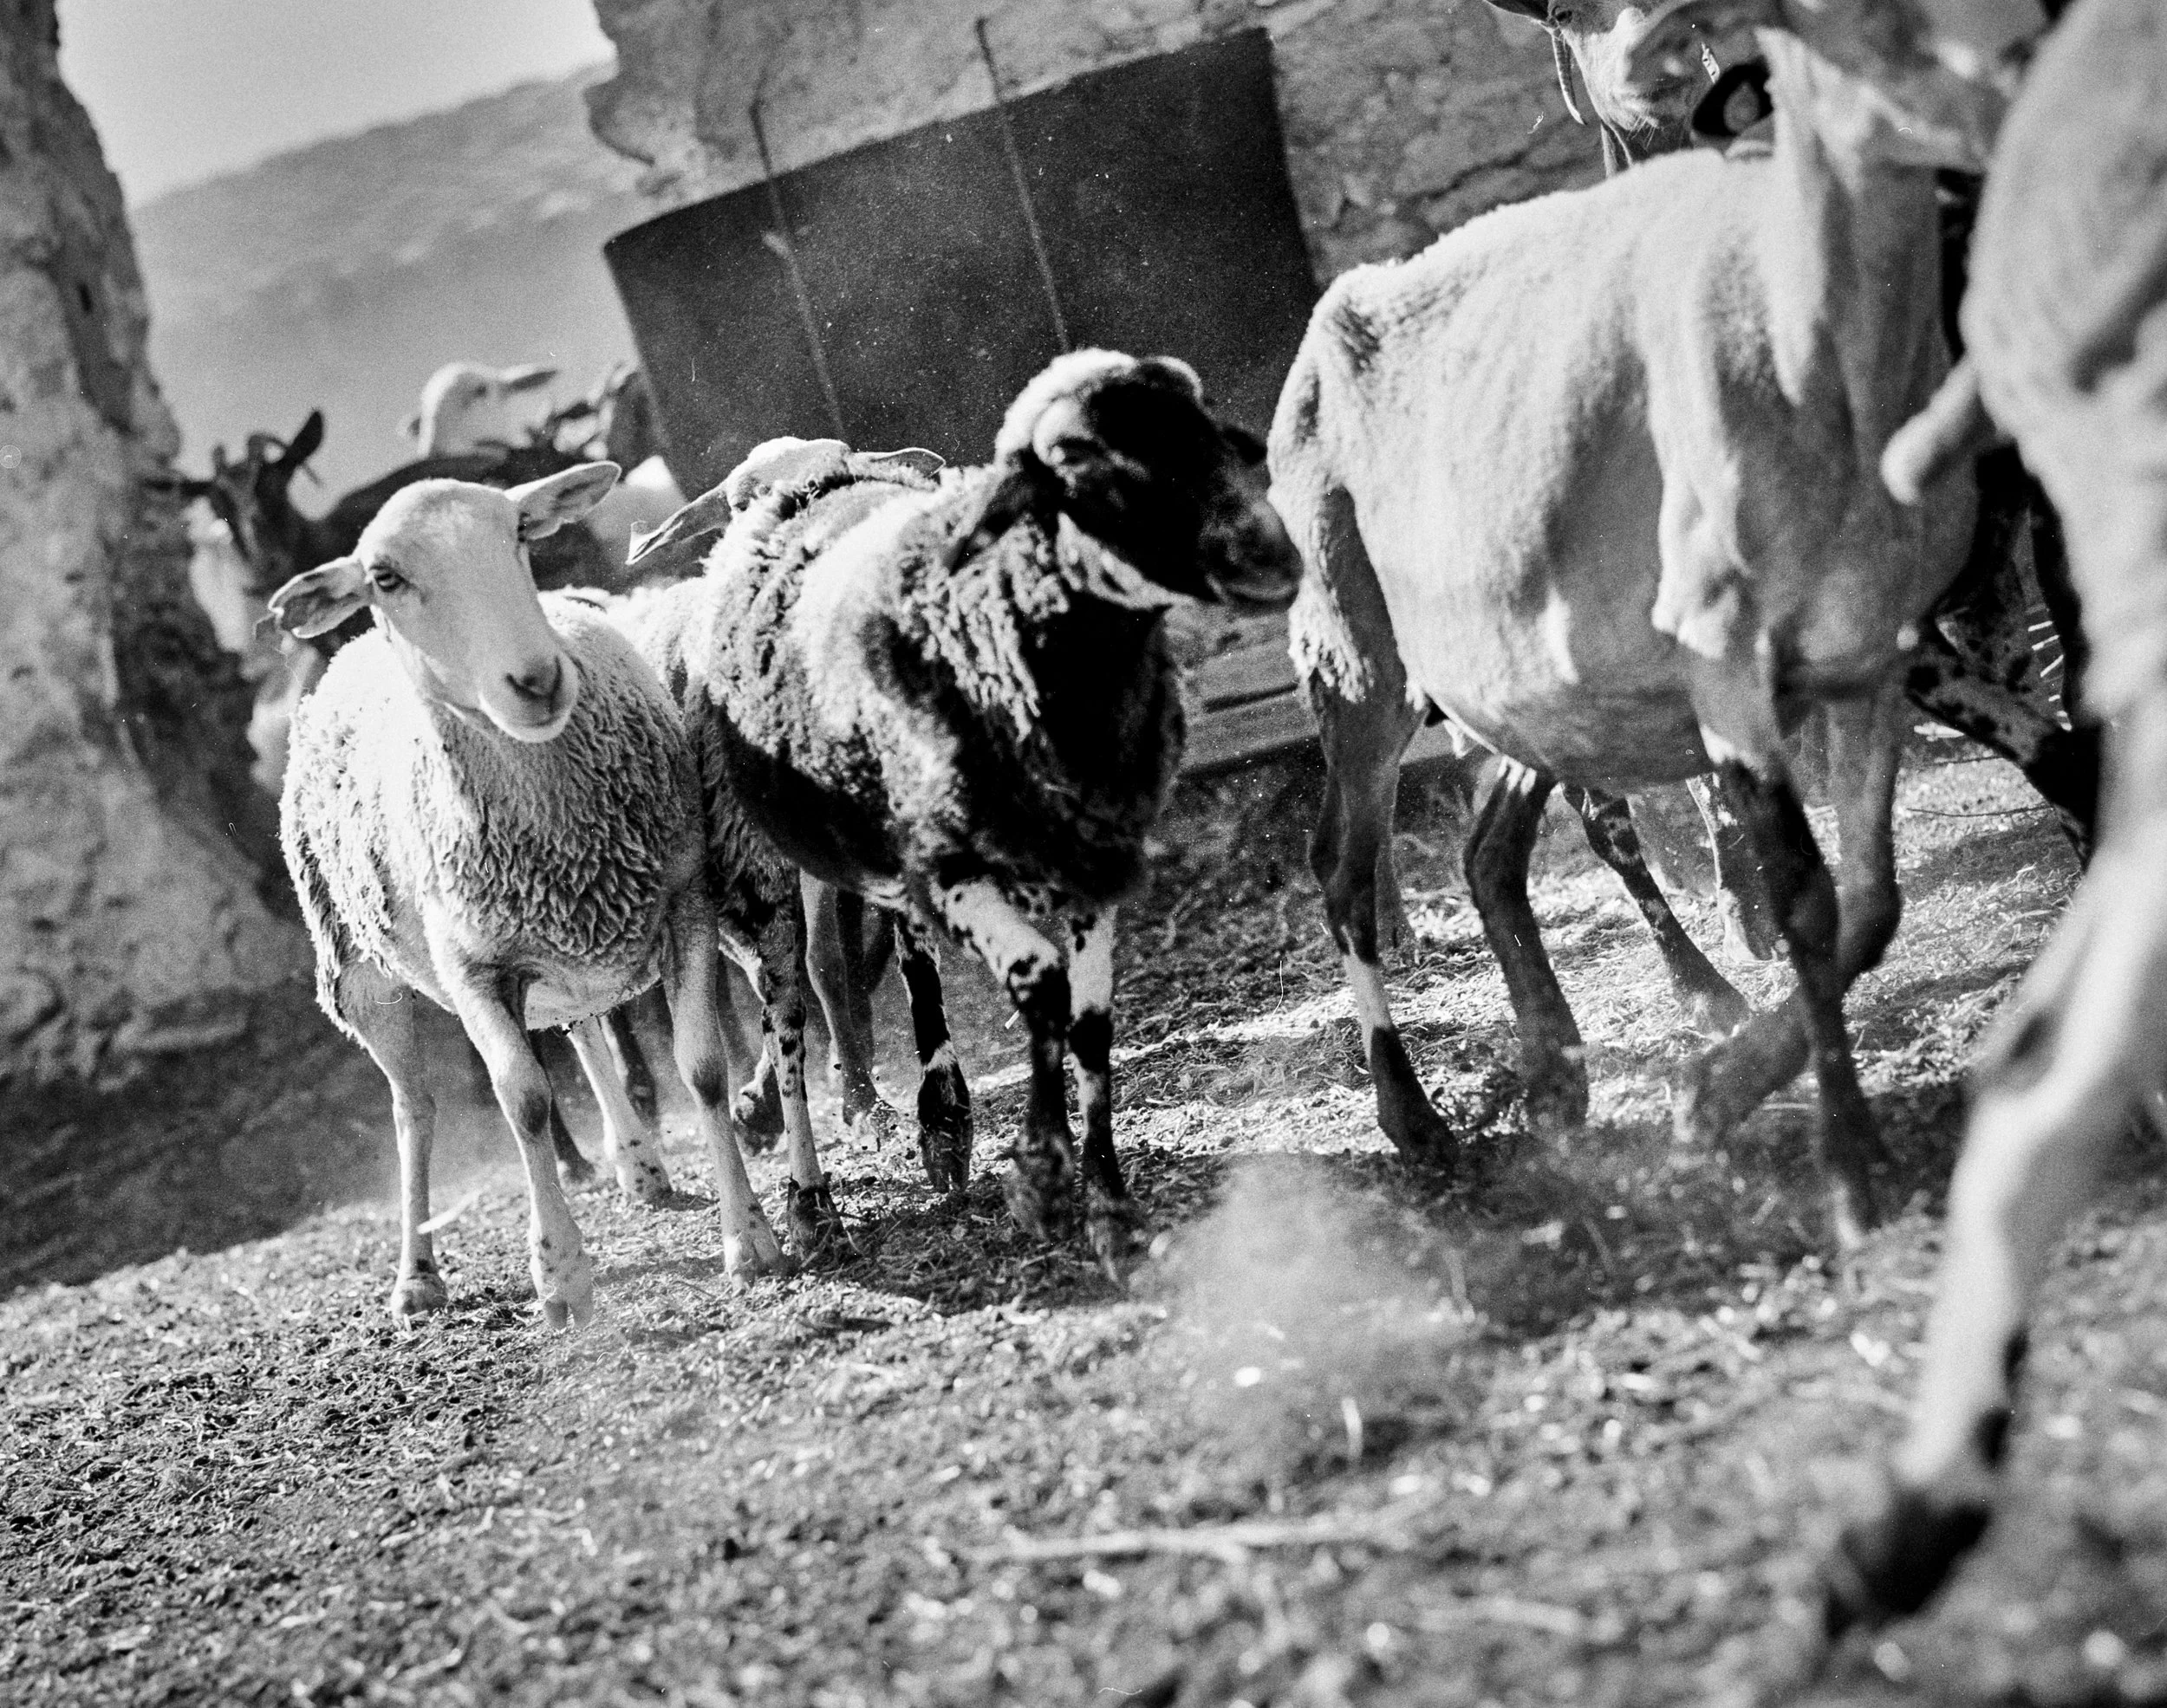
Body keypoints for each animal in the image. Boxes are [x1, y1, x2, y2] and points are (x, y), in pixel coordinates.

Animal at [271, 462, 791, 1323]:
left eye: (518, 532)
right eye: (386, 577)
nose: (537, 679)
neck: (555, 821)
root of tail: (346, 649)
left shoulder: (684, 903)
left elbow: (703, 1069)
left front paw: (749, 1238)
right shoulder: (473, 971)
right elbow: (526, 1104)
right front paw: (560, 1276)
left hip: (560, 954)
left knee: (580, 1029)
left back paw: (640, 1165)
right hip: (358, 975)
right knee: (414, 1109)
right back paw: (417, 1274)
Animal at [630, 353, 1302, 1271]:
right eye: (1079, 461)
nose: (1266, 553)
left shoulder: (1083, 859)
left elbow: (1084, 1018)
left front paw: (1103, 1200)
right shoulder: (940, 866)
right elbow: (1016, 982)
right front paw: (1025, 1166)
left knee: (859, 971)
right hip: (765, 861)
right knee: (790, 1010)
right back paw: (810, 1198)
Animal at [1269, 14, 1979, 1247]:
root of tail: (1327, 318)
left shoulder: (1867, 659)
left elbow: (1870, 899)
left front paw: (1718, 1091)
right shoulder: (1725, 665)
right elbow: (1807, 900)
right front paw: (1848, 1169)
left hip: (1524, 687)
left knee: (1489, 850)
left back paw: (1558, 1074)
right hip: (1356, 649)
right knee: (1342, 867)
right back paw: (1416, 1121)